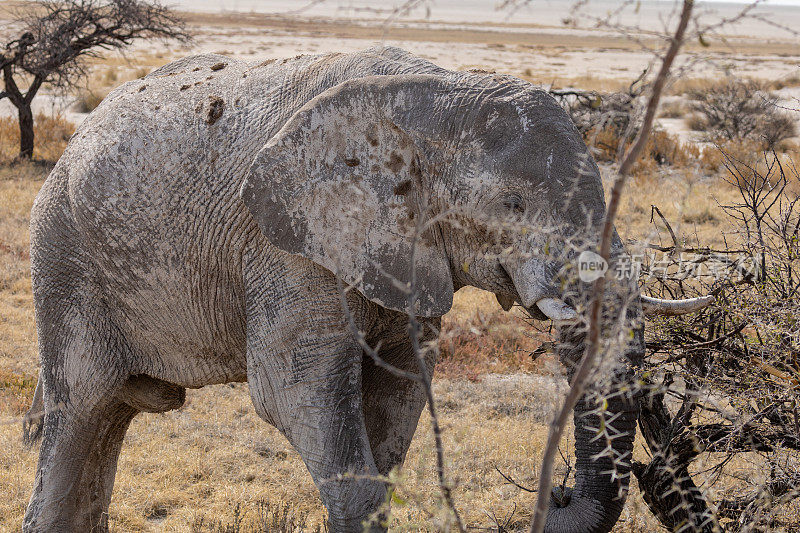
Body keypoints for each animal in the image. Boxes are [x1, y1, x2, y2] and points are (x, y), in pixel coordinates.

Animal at [18, 46, 708, 532]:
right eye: (511, 206)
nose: (559, 493)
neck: (433, 94)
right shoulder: (288, 246)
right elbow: (294, 392)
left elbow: (399, 387)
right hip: (63, 260)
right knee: (82, 409)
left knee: (110, 419)